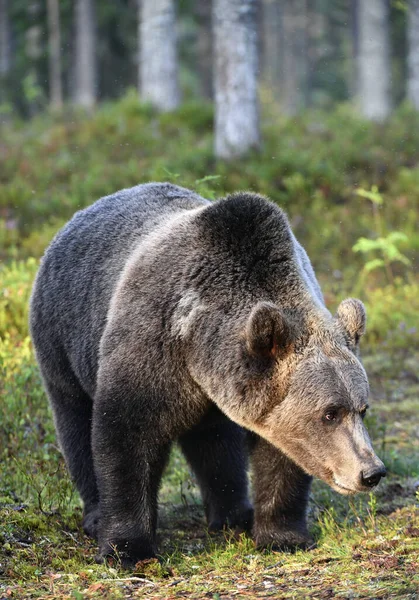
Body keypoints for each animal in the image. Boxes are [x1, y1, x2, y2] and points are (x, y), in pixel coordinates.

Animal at [29, 183, 386, 568]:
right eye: (330, 413)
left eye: (362, 408)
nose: (371, 472)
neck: (197, 344)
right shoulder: (152, 346)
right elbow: (126, 435)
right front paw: (127, 547)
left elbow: (282, 455)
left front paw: (283, 536)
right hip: (62, 337)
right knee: (75, 423)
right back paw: (96, 515)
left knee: (215, 445)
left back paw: (233, 514)